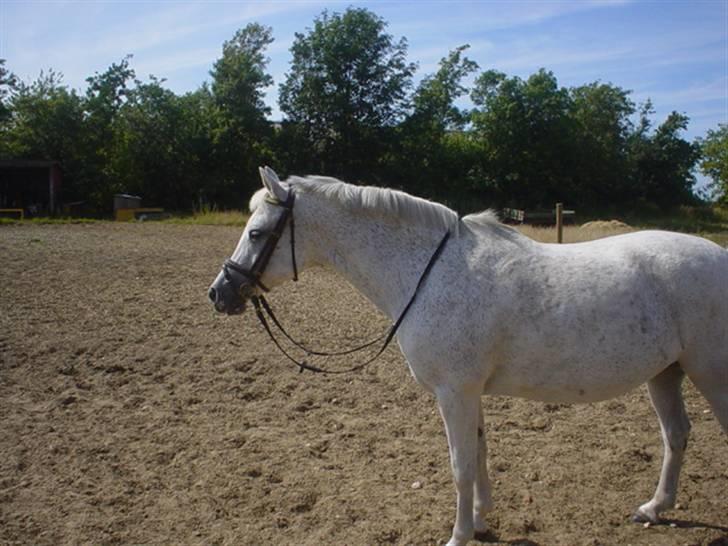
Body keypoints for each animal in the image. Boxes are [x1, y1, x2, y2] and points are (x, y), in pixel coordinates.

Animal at [208, 168, 724, 540]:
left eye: (257, 234)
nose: (220, 292)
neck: (429, 271)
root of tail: (719, 257)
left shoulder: (453, 392)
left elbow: (460, 465)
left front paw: (458, 534)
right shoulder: (469, 391)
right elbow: (478, 454)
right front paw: (478, 521)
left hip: (710, 374)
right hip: (666, 373)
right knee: (676, 436)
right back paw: (654, 509)